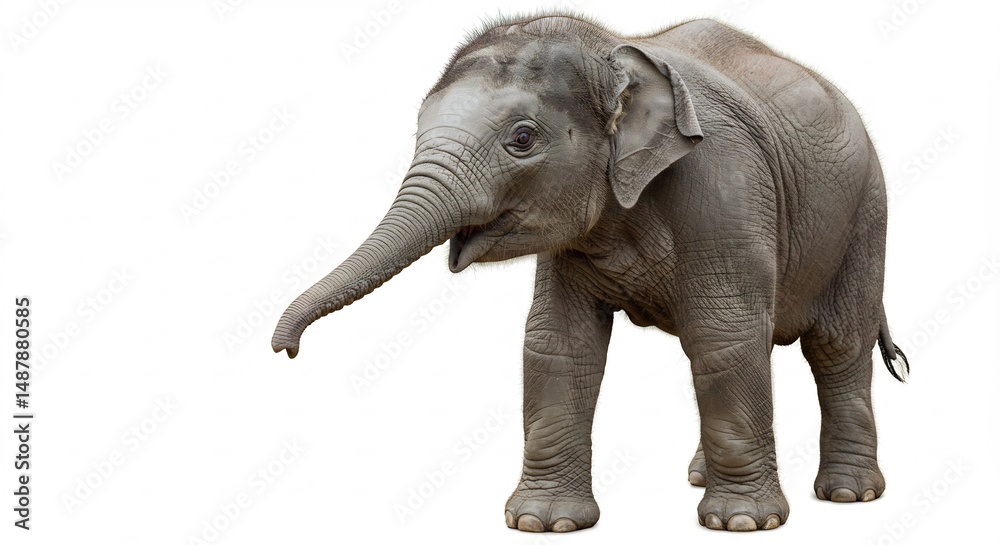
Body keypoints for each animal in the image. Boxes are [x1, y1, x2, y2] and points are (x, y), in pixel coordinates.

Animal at [271, 14, 909, 533]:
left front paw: (744, 524)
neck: (615, 51)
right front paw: (542, 523)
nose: (286, 351)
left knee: (836, 346)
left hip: (865, 217)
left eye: (521, 138)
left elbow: (723, 336)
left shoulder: (724, 183)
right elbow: (558, 343)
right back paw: (704, 477)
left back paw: (849, 496)